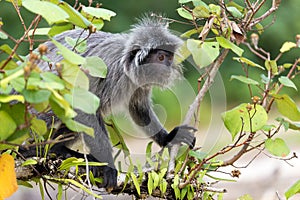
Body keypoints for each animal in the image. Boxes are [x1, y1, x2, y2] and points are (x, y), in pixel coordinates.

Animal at [19, 16, 196, 188]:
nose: (167, 68)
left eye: (169, 58)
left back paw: (58, 149)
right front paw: (108, 167)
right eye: (160, 57)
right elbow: (83, 108)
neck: (126, 66)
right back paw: (28, 150)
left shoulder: (138, 84)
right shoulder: (108, 70)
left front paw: (169, 138)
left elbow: (138, 109)